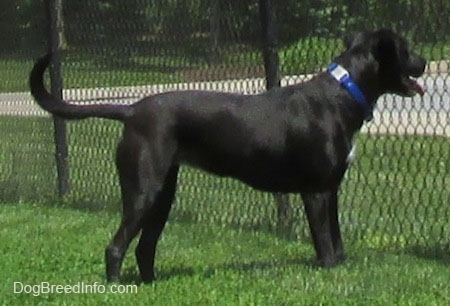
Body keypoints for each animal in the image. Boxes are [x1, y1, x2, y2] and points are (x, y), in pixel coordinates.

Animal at [29, 28, 426, 282]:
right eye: (406, 49)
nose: (423, 62)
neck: (345, 93)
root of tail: (131, 110)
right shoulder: (314, 192)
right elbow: (324, 242)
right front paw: (329, 270)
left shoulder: (331, 189)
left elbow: (338, 237)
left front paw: (341, 266)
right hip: (143, 190)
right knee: (116, 246)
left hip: (163, 194)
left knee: (144, 248)